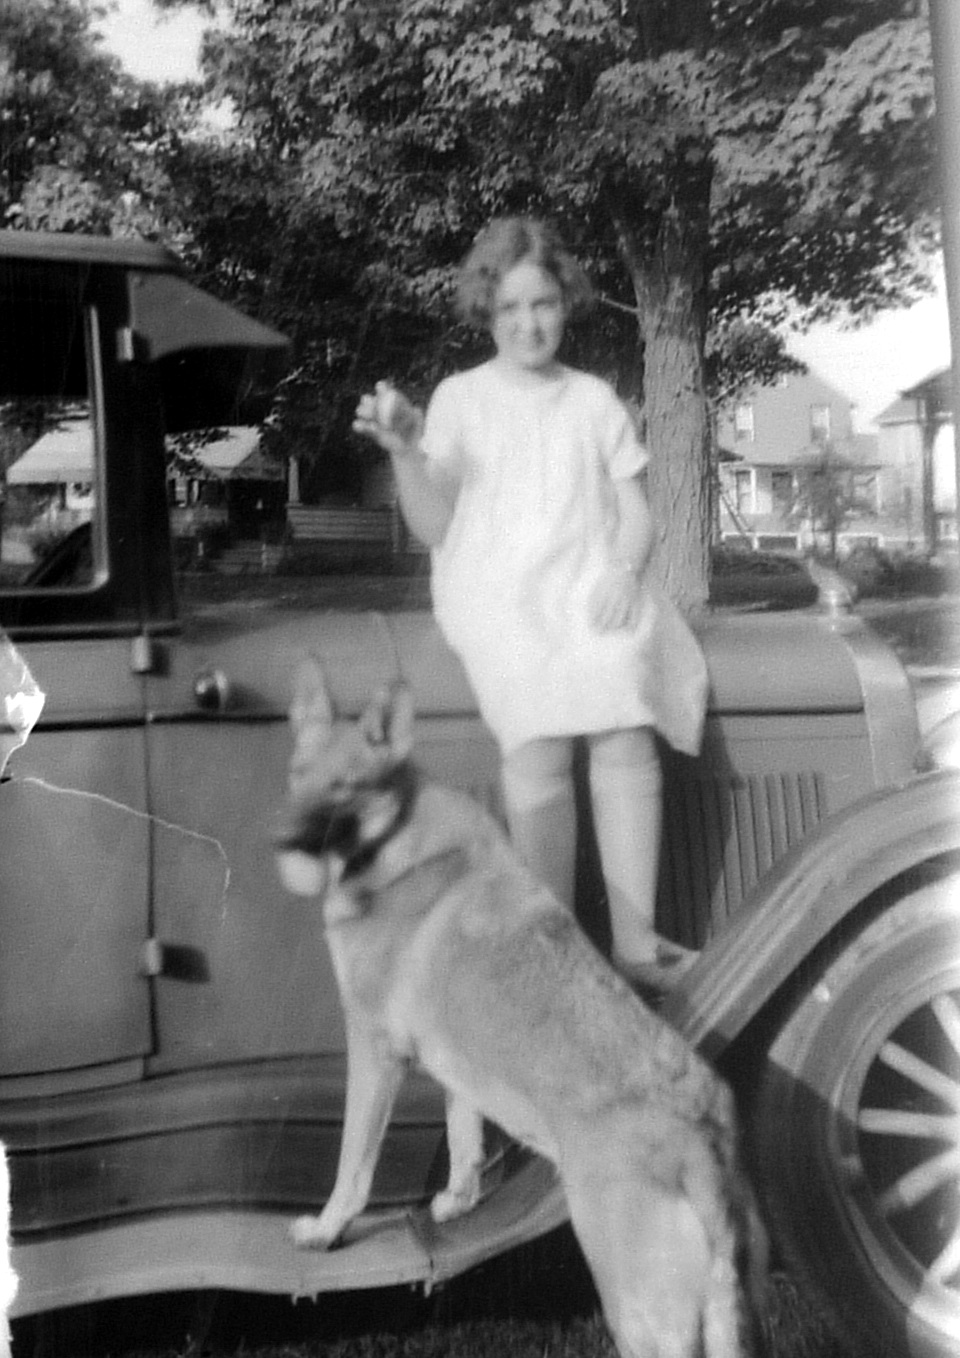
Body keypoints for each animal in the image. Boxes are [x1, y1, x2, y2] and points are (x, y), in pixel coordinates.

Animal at [276, 659, 767, 1358]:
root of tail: (698, 1142)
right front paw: (457, 1202)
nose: (280, 838)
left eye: (345, 787)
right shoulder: (454, 1062)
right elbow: (464, 1137)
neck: (398, 844)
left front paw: (325, 1231)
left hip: (641, 1321)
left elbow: (353, 1167)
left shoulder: (373, 1053)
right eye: (297, 775)